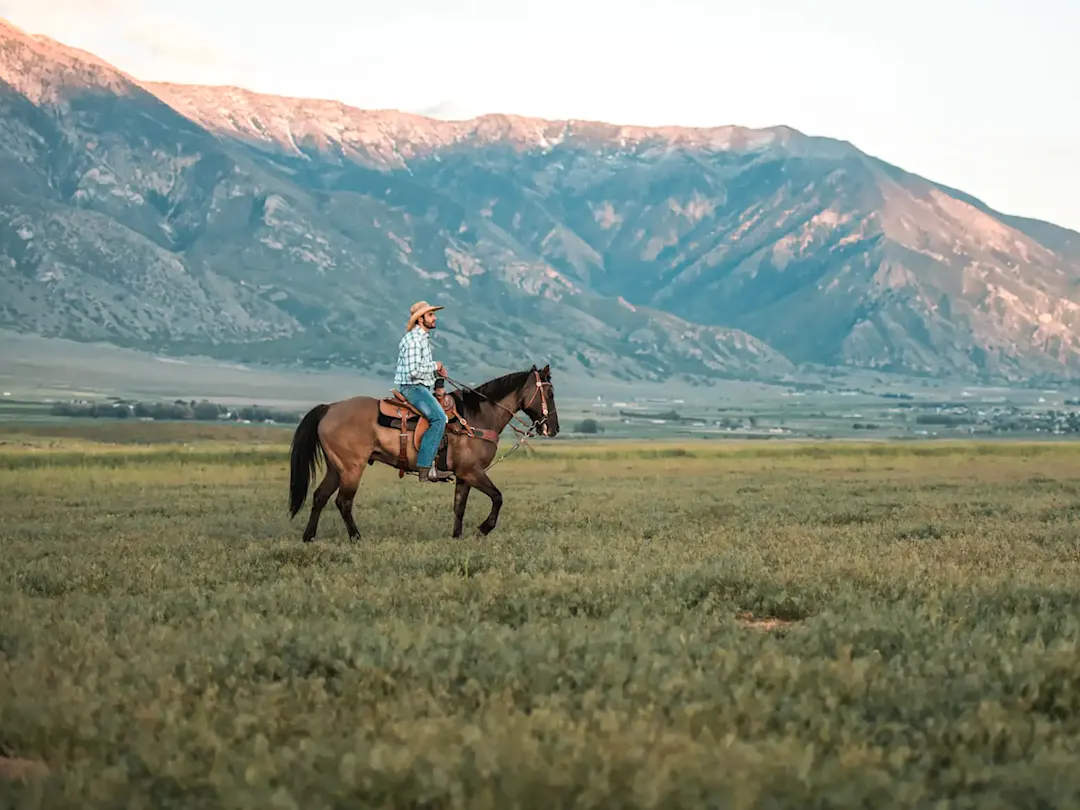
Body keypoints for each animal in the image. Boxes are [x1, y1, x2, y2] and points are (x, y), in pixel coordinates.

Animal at [287, 367, 561, 546]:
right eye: (549, 394)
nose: (553, 428)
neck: (478, 418)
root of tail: (329, 409)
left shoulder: (464, 476)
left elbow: (459, 506)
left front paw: (457, 536)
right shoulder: (473, 472)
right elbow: (498, 497)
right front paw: (483, 529)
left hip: (337, 468)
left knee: (320, 497)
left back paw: (308, 537)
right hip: (352, 467)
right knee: (343, 502)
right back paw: (356, 538)